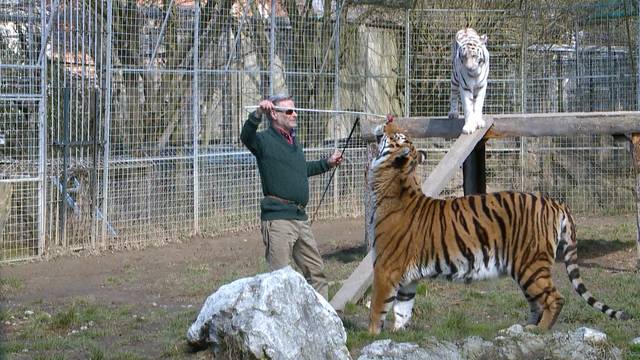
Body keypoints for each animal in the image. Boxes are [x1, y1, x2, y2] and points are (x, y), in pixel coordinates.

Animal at [368, 121, 632, 334]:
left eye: (397, 136)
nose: (387, 123)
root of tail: (554, 201)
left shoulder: (385, 266)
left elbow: (379, 306)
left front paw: (372, 335)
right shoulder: (408, 277)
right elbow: (402, 308)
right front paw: (398, 334)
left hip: (531, 264)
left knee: (555, 298)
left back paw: (539, 330)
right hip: (525, 269)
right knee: (537, 304)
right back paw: (522, 328)